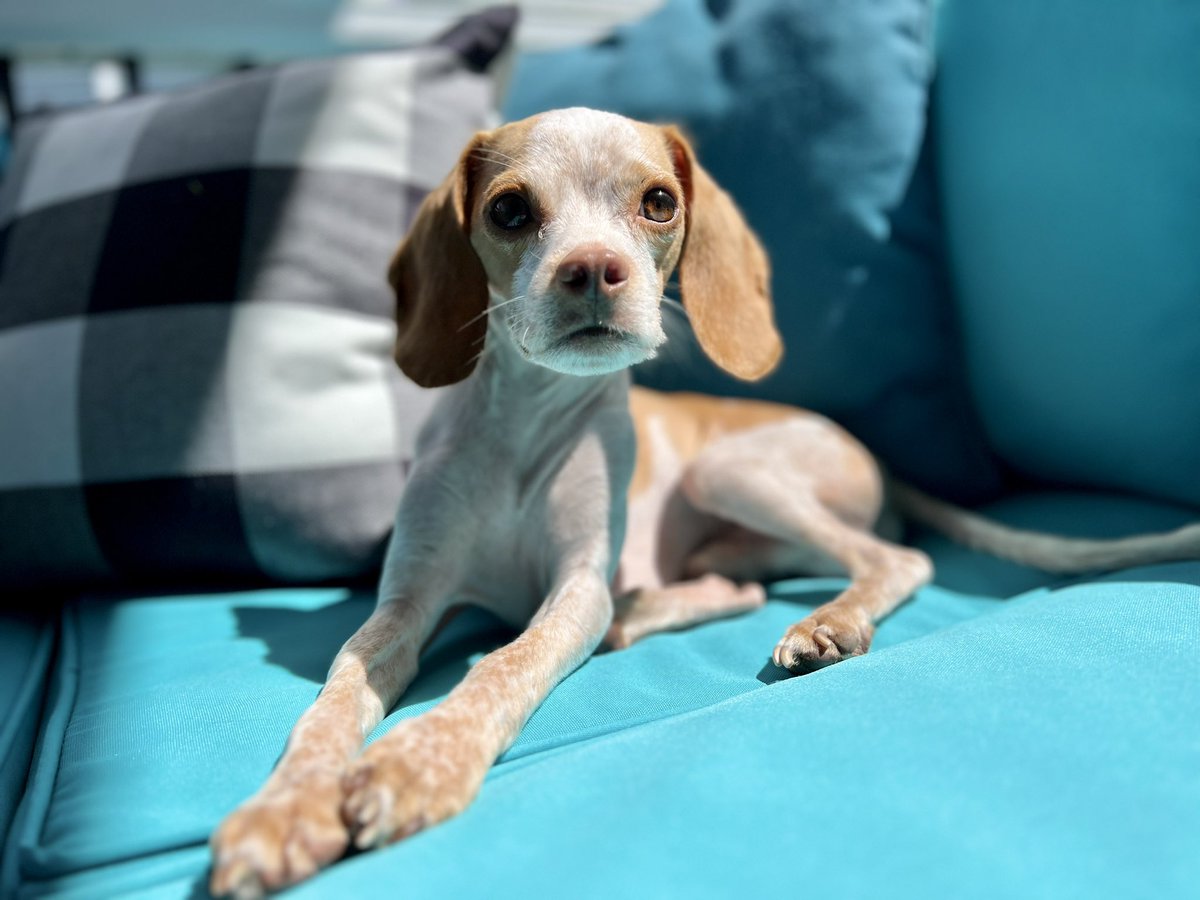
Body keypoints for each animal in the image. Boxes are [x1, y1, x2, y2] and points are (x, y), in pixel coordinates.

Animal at [211, 103, 1195, 897]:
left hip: (730, 473)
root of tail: (872, 449)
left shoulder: (576, 590)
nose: (592, 271)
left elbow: (502, 667)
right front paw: (284, 809)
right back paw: (658, 613)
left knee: (895, 557)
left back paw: (827, 624)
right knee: (743, 583)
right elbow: (333, 698)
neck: (523, 434)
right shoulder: (406, 602)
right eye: (509, 210)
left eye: (657, 202)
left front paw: (416, 765)